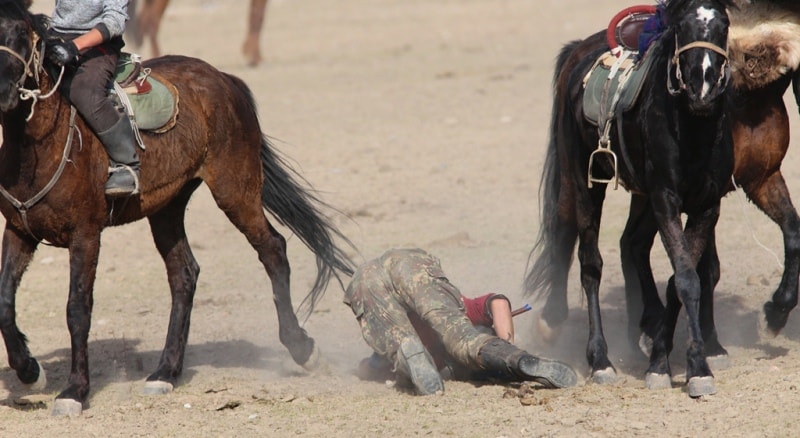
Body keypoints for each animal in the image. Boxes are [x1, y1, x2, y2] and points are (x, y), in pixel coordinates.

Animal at [127, 0, 268, 66]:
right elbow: (257, 16)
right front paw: (255, 58)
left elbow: (256, 16)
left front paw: (250, 53)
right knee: (151, 21)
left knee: (143, 21)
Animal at [524, 0, 736, 396]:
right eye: (681, 26)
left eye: (724, 27)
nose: (702, 86)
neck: (693, 128)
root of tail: (578, 49)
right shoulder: (665, 200)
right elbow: (687, 278)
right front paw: (690, 367)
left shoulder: (706, 206)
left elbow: (682, 279)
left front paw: (671, 359)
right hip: (585, 180)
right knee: (588, 261)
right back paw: (599, 358)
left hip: (640, 197)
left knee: (629, 244)